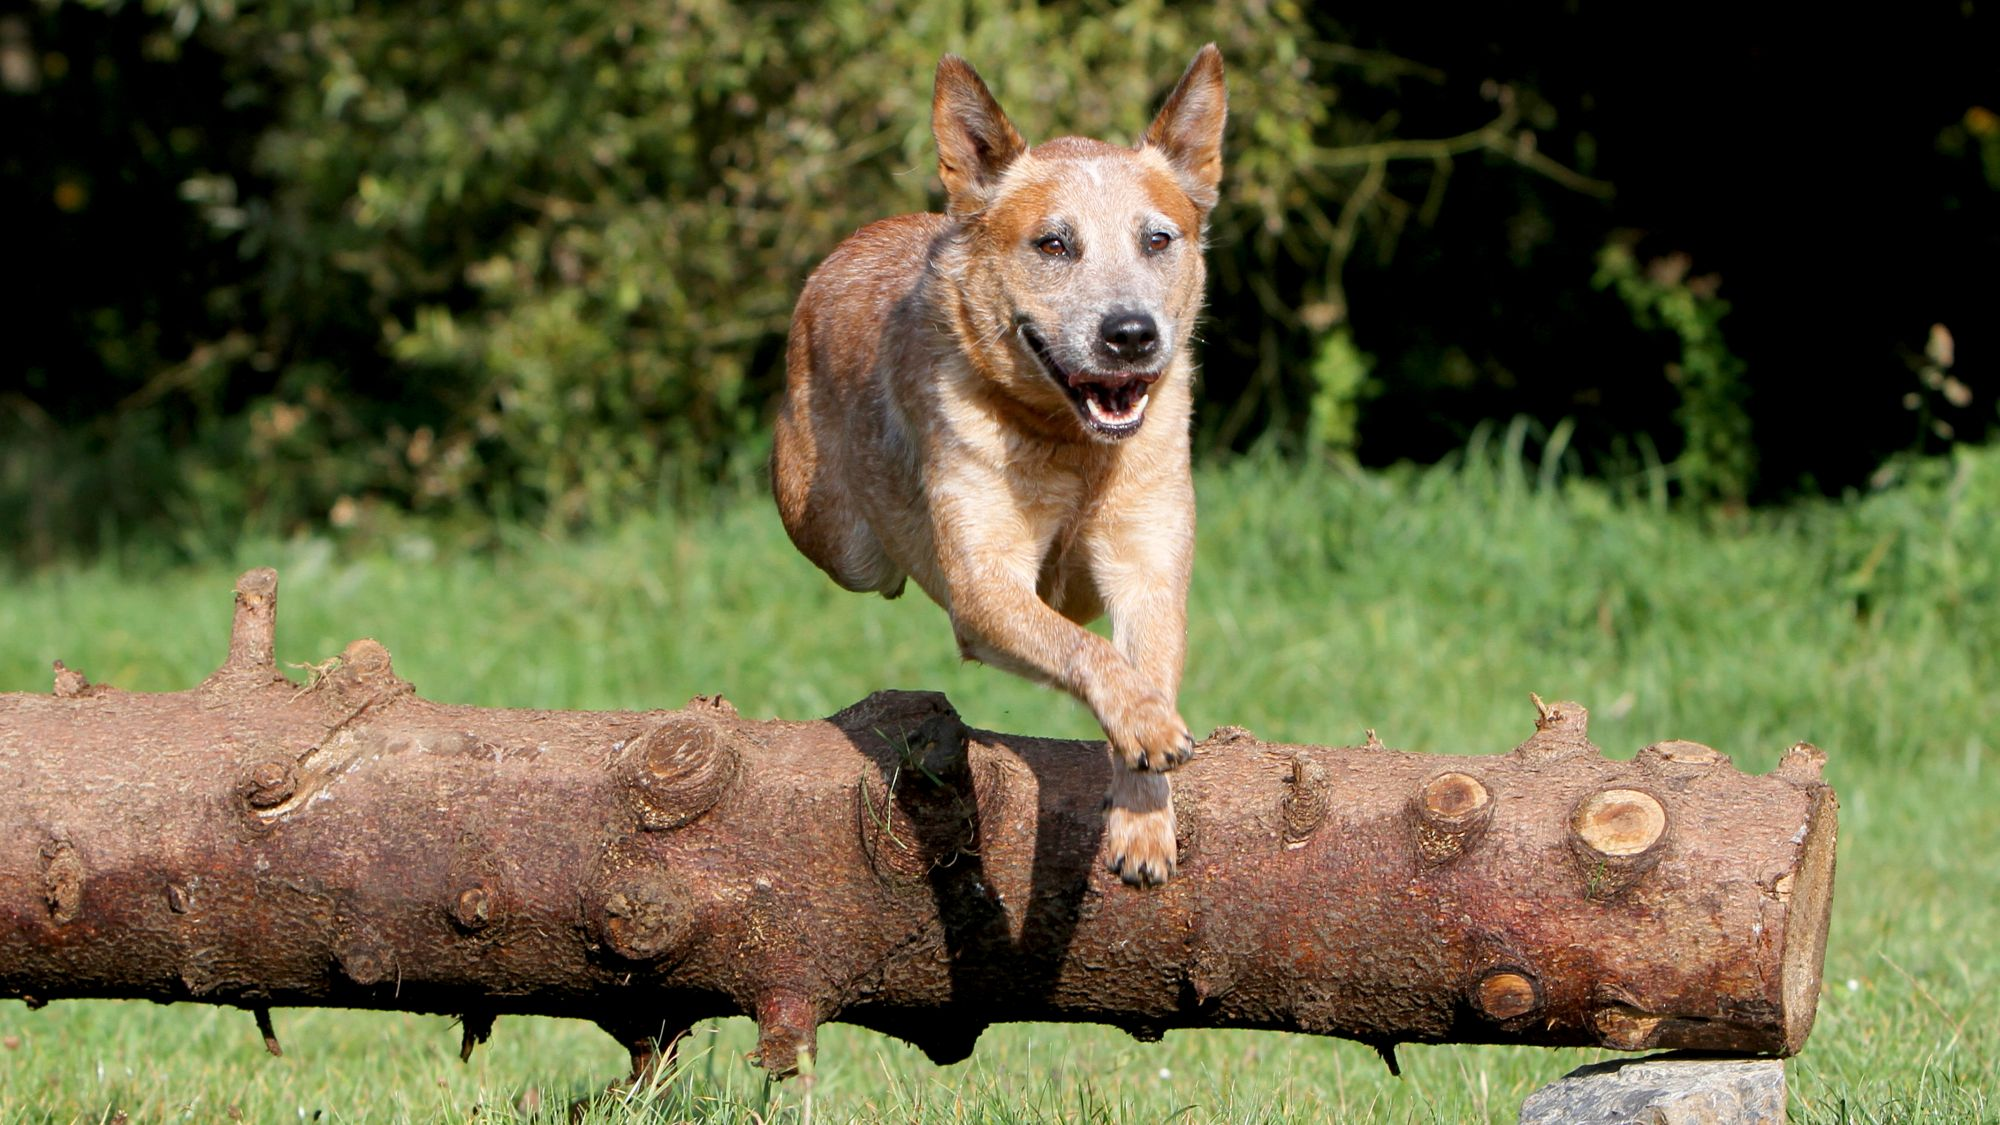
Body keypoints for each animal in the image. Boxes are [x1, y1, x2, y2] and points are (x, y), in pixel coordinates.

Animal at [772, 46, 1224, 884]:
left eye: (1157, 239)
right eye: (1053, 244)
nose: (1131, 334)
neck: (1072, 448)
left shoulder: (1147, 563)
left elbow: (1139, 659)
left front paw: (1143, 819)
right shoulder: (983, 586)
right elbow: (1087, 650)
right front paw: (1148, 727)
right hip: (839, 538)